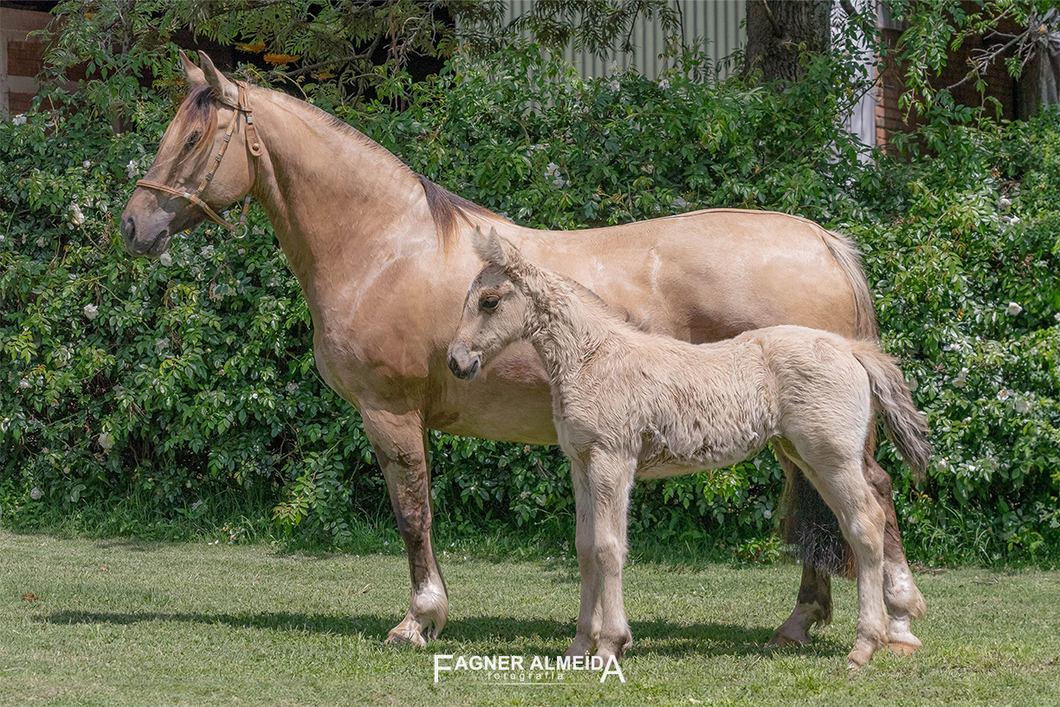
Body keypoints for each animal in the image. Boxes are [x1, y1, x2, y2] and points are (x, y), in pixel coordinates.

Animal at [447, 227, 928, 669]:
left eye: (489, 301)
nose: (456, 361)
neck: (594, 357)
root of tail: (851, 348)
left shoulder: (612, 460)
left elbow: (608, 548)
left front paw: (610, 645)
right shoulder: (581, 463)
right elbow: (585, 549)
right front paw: (579, 646)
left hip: (833, 457)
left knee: (866, 525)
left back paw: (866, 645)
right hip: (804, 455)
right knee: (856, 523)